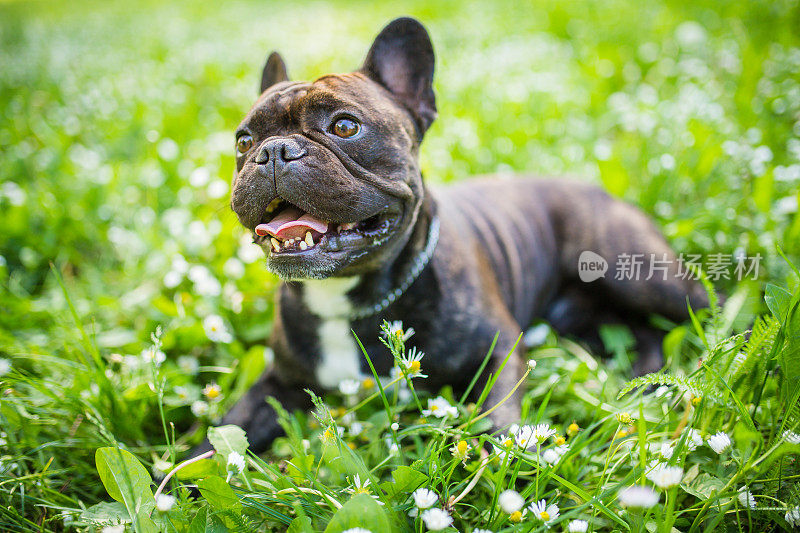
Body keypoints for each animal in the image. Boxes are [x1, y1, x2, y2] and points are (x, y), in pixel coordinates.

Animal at [217, 16, 708, 450]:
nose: (274, 152)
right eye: (243, 141)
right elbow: (226, 433)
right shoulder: (279, 382)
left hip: (640, 275)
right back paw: (643, 383)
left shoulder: (499, 349)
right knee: (641, 333)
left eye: (344, 126)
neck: (344, 300)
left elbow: (498, 417)